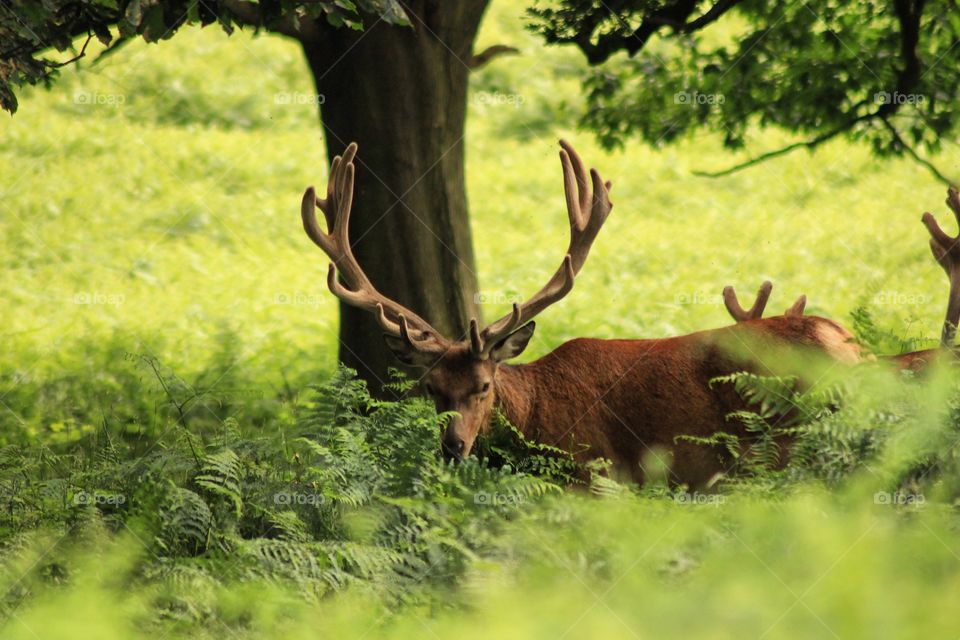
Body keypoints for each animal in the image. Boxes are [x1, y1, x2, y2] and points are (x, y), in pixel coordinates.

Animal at [301, 141, 960, 488]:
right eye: (431, 388)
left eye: (484, 386)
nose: (453, 447)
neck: (536, 415)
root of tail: (856, 350)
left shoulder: (596, 476)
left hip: (795, 447)